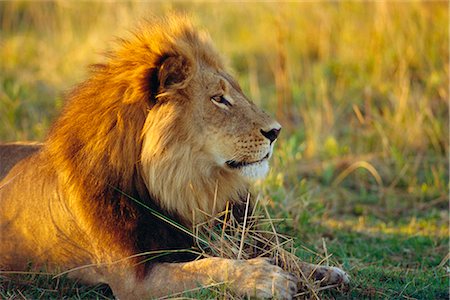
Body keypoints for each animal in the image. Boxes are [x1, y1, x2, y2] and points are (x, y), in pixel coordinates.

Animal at [0, 15, 348, 298]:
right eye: (219, 99)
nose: (276, 131)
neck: (182, 185)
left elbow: (280, 252)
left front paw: (324, 271)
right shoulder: (134, 279)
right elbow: (205, 267)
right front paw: (265, 279)